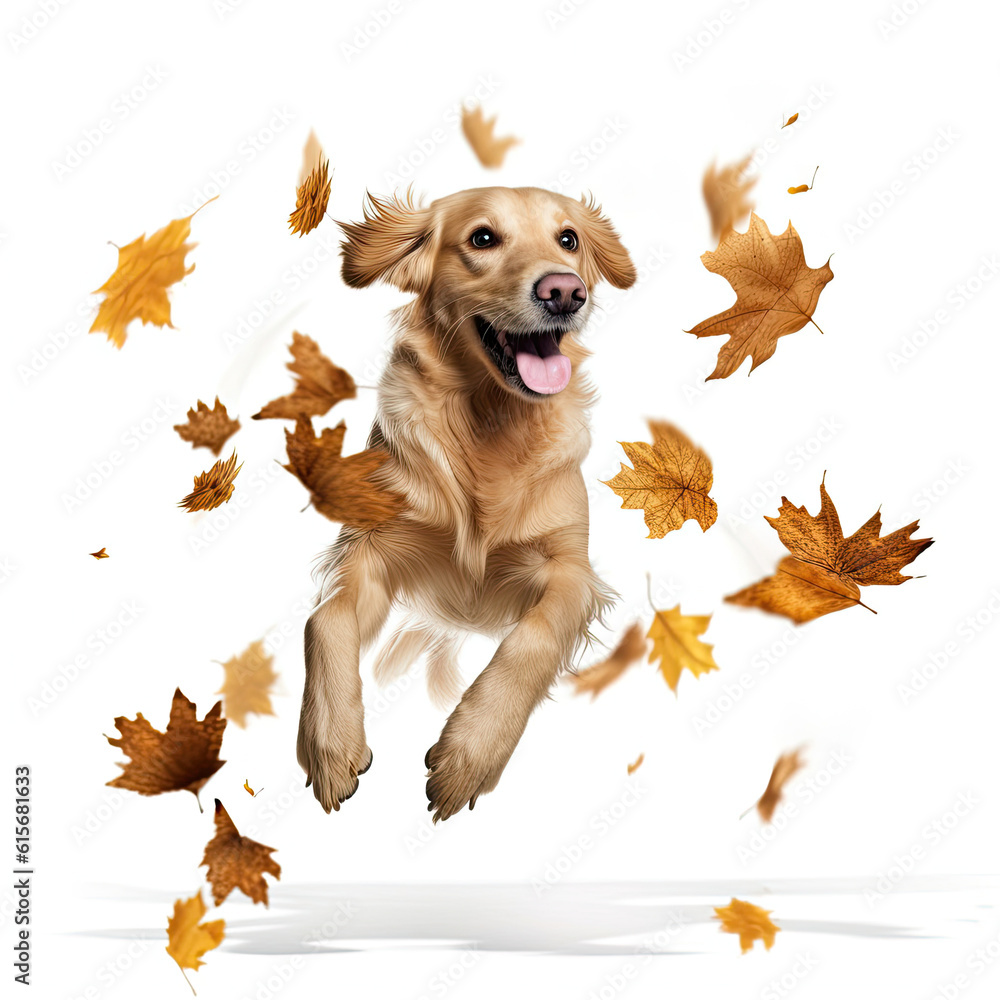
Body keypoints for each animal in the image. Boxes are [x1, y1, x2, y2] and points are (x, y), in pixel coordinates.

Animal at [296, 186, 636, 820]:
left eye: (568, 238)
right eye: (483, 238)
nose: (564, 292)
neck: (491, 423)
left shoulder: (571, 570)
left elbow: (532, 638)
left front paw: (468, 755)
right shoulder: (370, 548)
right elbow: (323, 619)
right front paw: (331, 745)